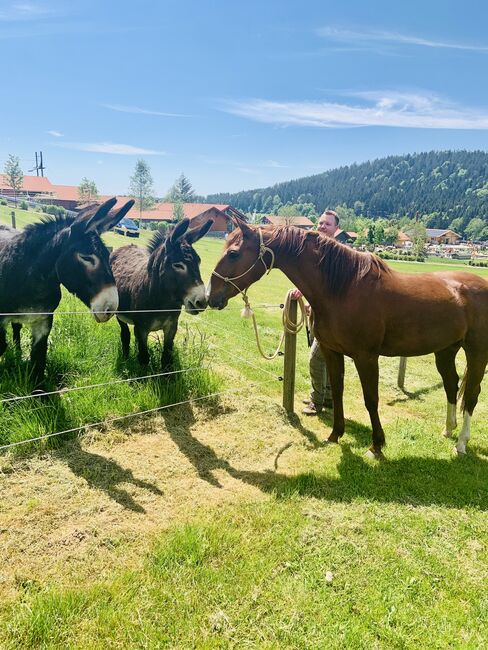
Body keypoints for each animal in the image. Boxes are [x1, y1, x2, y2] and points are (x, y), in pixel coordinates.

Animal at [209, 220, 488, 458]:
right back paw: (448, 429)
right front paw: (335, 435)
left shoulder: (366, 358)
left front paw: (376, 445)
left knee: (471, 394)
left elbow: (371, 399)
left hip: (477, 354)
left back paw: (461, 443)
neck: (343, 287)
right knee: (451, 385)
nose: (211, 296)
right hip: (446, 350)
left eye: (233, 253)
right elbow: (337, 390)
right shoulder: (332, 351)